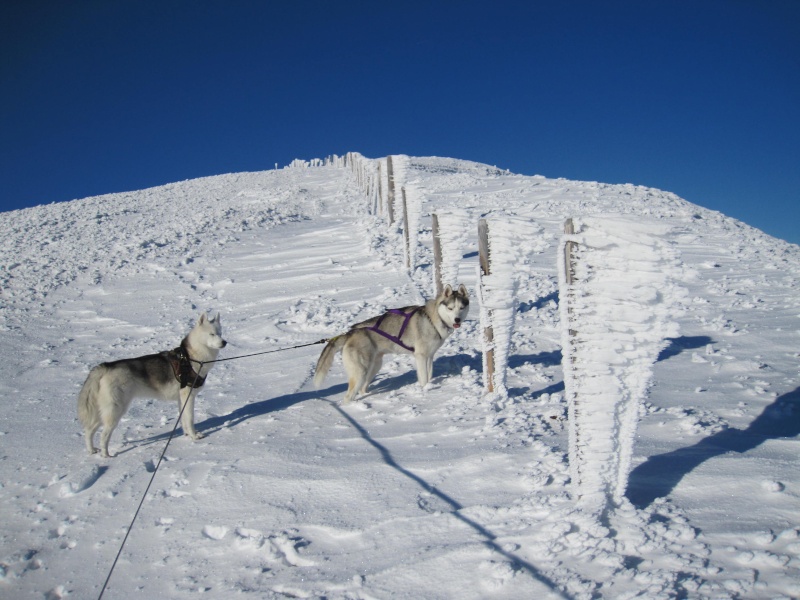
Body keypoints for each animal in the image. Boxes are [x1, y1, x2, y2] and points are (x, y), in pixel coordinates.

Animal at [78, 312, 227, 458]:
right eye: (212, 334)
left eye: (220, 333)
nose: (224, 342)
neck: (191, 358)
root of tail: (106, 366)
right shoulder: (188, 396)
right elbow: (190, 419)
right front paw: (194, 436)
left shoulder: (182, 399)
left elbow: (183, 419)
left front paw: (186, 434)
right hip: (115, 410)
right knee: (104, 435)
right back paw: (105, 455)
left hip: (103, 411)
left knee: (89, 430)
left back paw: (92, 450)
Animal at [312, 284, 468, 404]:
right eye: (450, 308)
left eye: (461, 307)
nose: (457, 320)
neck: (433, 319)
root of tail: (350, 333)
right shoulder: (421, 356)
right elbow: (424, 378)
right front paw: (424, 391)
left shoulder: (429, 357)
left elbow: (429, 376)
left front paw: (429, 387)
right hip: (361, 372)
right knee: (348, 396)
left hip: (374, 367)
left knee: (362, 389)